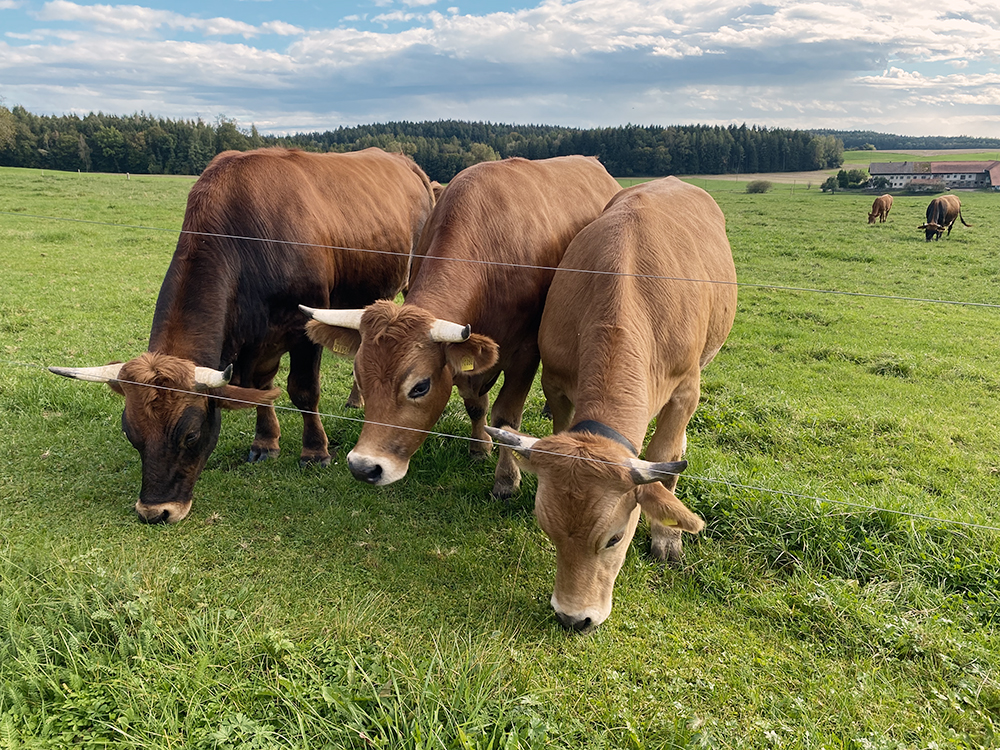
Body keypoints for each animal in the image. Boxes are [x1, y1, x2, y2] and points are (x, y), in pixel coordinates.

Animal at [49, 145, 434, 524]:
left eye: (190, 435)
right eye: (131, 433)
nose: (155, 512)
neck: (245, 238)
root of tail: (403, 160)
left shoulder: (303, 329)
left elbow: (303, 390)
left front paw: (315, 451)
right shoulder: (257, 342)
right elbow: (261, 390)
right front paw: (265, 443)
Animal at [300, 157, 620, 500]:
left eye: (420, 387)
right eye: (359, 376)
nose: (363, 467)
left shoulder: (525, 353)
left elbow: (506, 417)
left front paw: (506, 480)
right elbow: (476, 405)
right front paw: (480, 447)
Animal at [488, 178, 740, 636]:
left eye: (615, 538)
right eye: (548, 531)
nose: (573, 618)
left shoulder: (686, 388)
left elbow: (664, 458)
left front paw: (666, 537)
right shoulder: (556, 381)